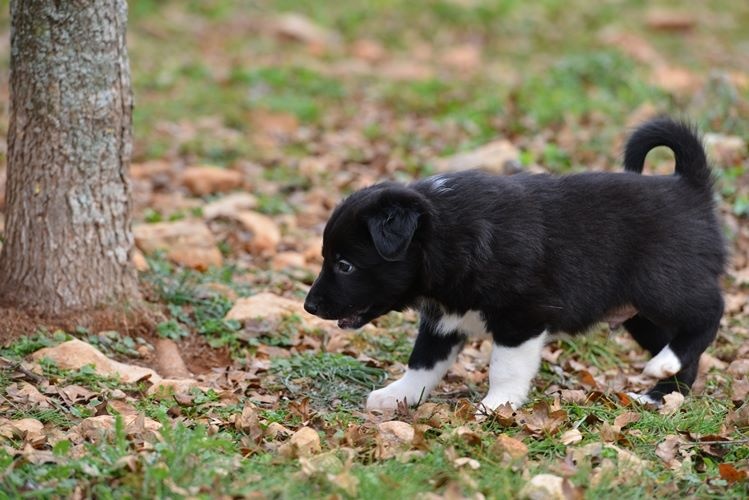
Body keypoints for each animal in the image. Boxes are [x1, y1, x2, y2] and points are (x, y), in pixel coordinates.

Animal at [302, 119, 724, 412]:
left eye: (344, 265)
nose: (309, 306)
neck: (445, 234)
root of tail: (689, 187)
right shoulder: (443, 318)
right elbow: (423, 361)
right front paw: (397, 396)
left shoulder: (523, 315)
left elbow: (504, 367)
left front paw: (496, 405)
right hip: (637, 313)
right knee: (685, 354)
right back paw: (659, 394)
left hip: (663, 285)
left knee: (707, 315)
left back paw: (663, 365)